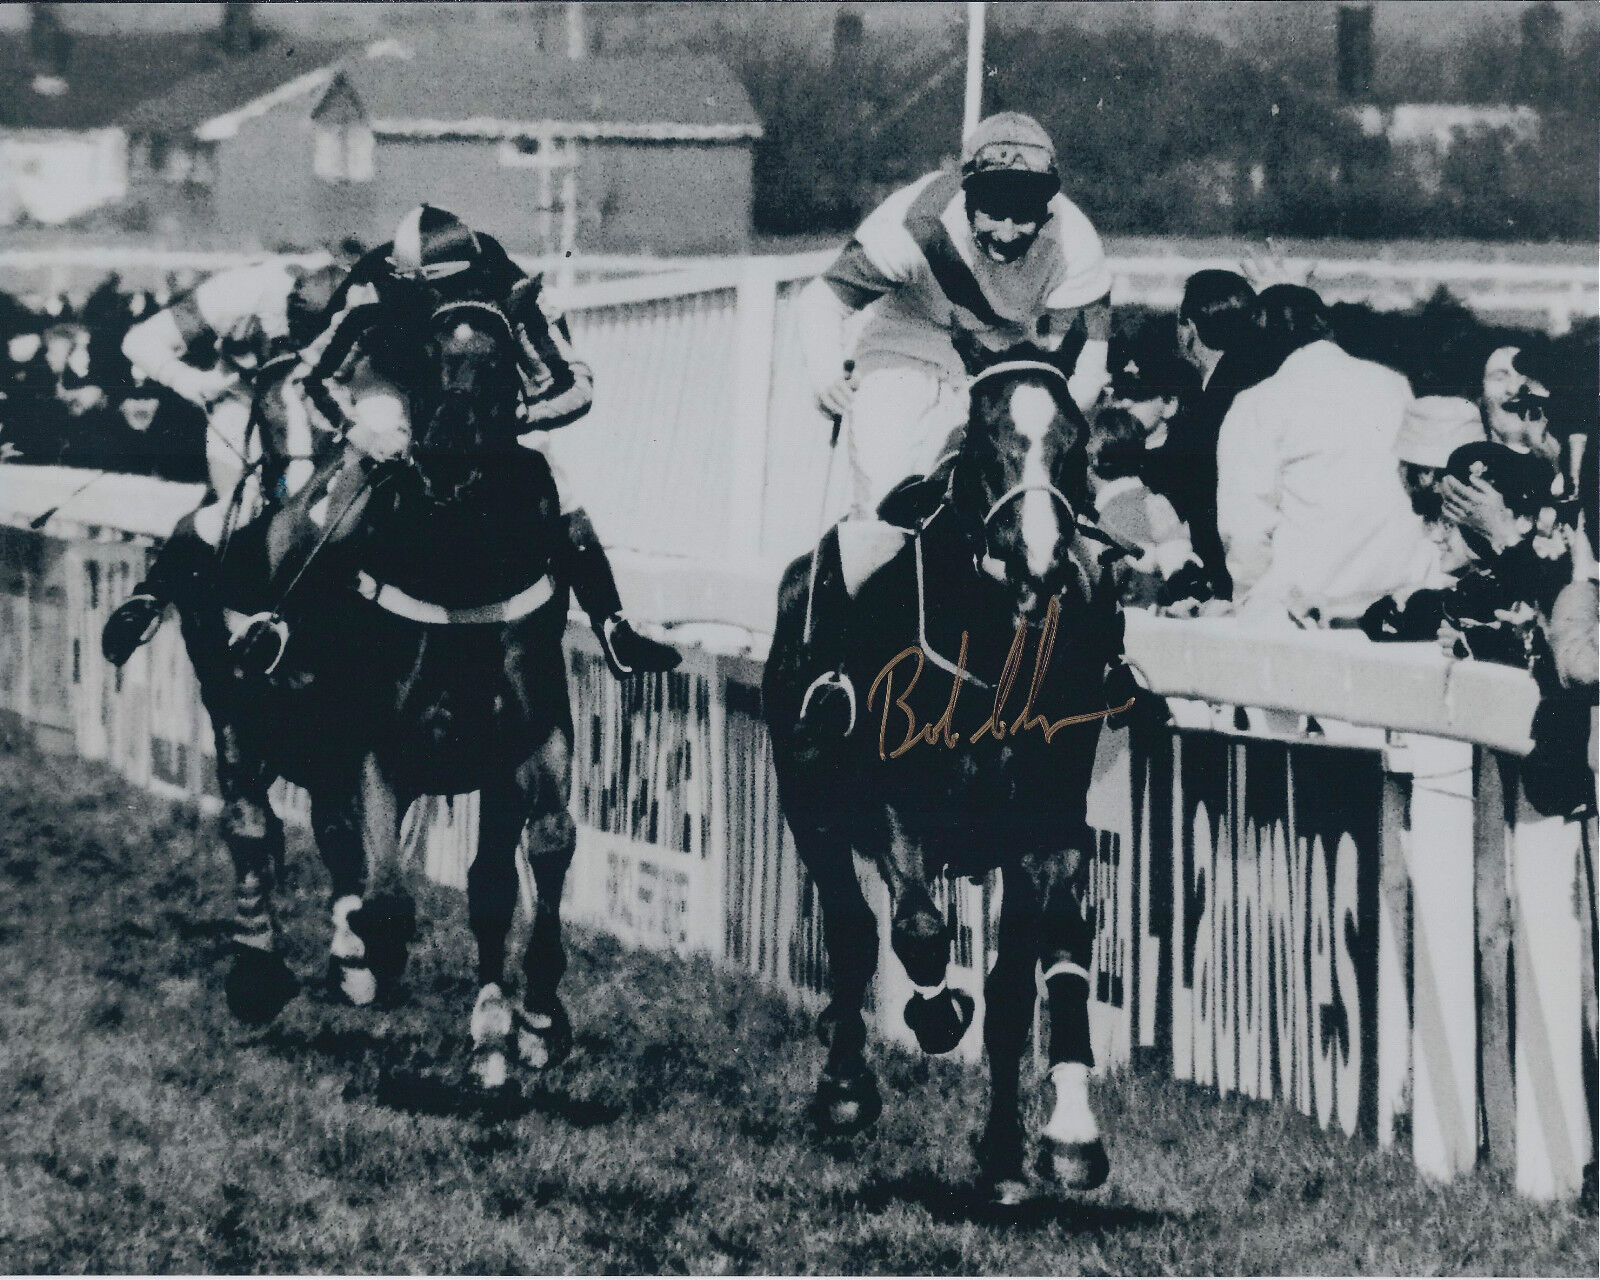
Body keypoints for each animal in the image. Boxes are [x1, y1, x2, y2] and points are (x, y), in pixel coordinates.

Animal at [177, 300, 576, 1088]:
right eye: (420, 360)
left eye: (499, 364)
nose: (445, 454)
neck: (460, 579)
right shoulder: (376, 744)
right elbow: (387, 892)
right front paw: (372, 953)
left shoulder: (524, 739)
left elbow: (527, 861)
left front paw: (522, 1024)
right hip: (237, 704)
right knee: (250, 822)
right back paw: (263, 973)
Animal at [758, 347, 1145, 1203]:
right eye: (982, 441)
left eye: (1076, 443)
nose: (1040, 559)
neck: (994, 649)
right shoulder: (895, 806)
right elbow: (919, 930)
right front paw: (936, 1016)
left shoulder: (1047, 825)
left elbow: (1029, 978)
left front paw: (1054, 1142)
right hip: (808, 797)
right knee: (854, 927)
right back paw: (845, 1086)